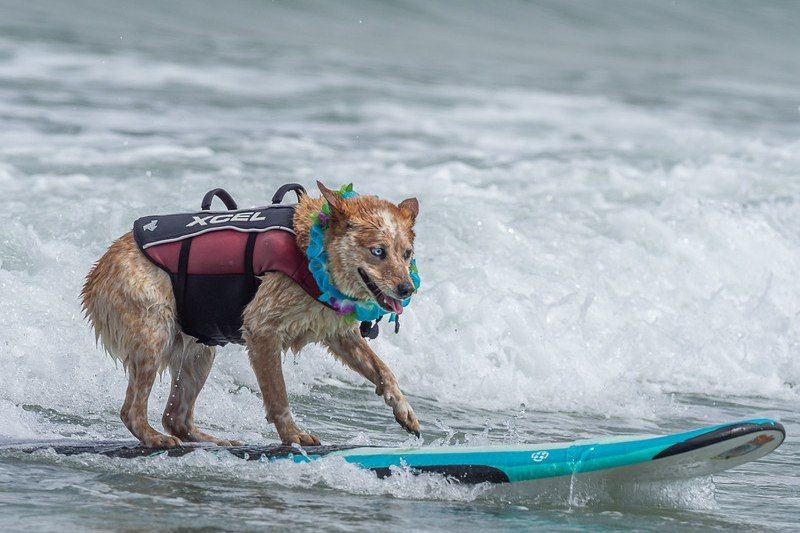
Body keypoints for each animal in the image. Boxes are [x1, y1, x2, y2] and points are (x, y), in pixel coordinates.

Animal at [80, 182, 418, 444]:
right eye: (378, 251)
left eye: (407, 253)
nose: (408, 288)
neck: (311, 250)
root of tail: (97, 271)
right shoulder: (262, 330)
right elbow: (278, 394)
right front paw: (292, 435)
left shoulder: (338, 333)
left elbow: (383, 370)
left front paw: (403, 409)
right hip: (154, 333)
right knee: (132, 411)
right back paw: (154, 438)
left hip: (199, 352)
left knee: (175, 417)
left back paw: (210, 439)